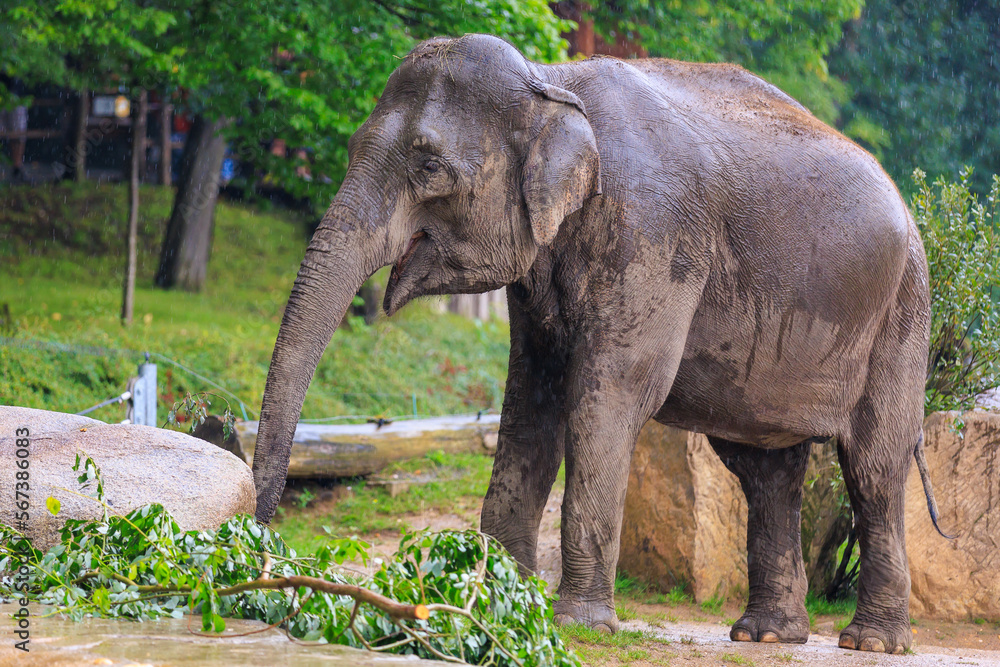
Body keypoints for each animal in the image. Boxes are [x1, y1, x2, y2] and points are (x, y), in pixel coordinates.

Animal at [251, 34, 947, 654]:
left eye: (429, 166)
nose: (256, 537)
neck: (552, 83)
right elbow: (531, 401)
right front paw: (499, 600)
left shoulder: (655, 237)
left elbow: (608, 396)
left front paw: (576, 623)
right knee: (763, 469)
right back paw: (767, 634)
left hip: (903, 313)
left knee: (874, 468)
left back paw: (871, 641)